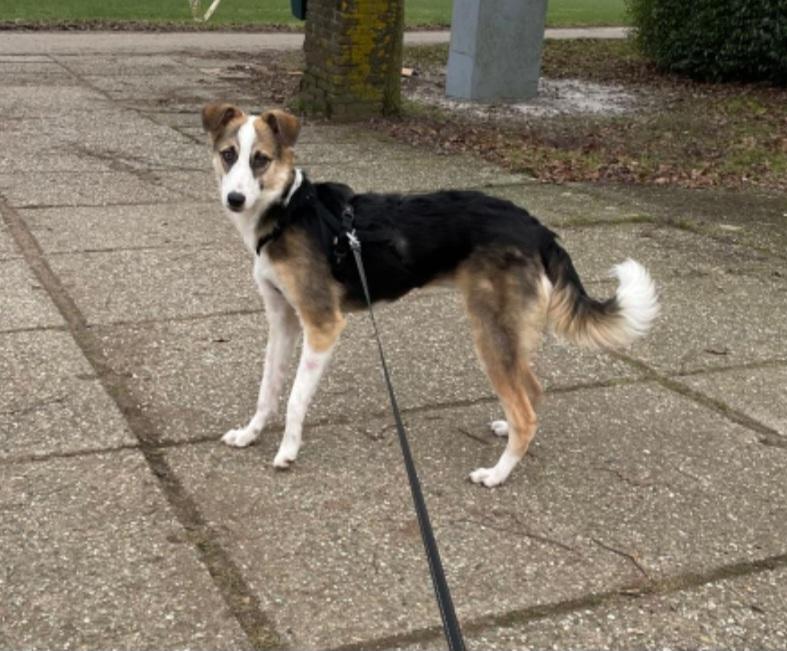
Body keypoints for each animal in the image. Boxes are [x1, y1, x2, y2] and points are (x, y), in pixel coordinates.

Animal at [201, 102, 659, 488]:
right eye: (229, 154)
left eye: (261, 159)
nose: (235, 199)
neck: (288, 210)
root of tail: (537, 229)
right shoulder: (282, 321)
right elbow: (268, 390)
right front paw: (251, 433)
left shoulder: (322, 325)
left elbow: (296, 398)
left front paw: (288, 450)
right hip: (508, 334)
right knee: (531, 389)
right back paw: (506, 431)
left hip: (490, 332)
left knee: (527, 412)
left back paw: (496, 474)